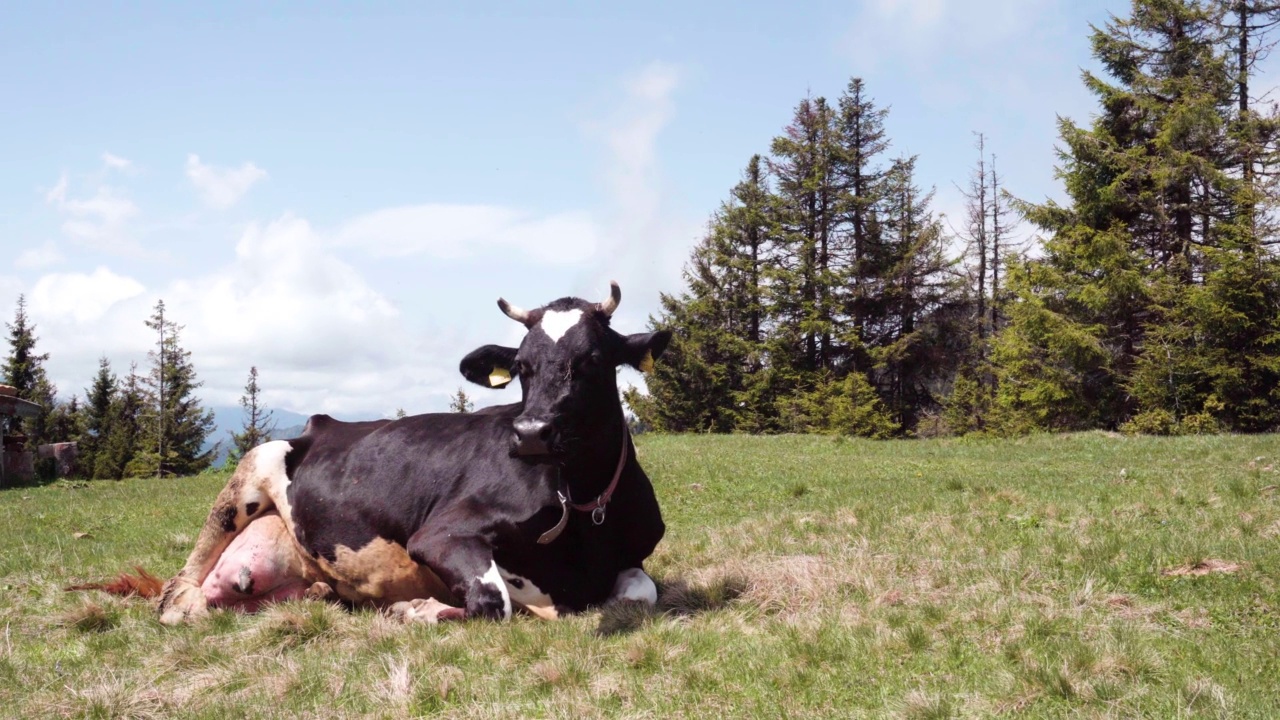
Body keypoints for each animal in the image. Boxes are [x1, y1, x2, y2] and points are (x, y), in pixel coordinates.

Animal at [81, 280, 675, 622]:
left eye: (592, 360)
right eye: (523, 367)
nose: (529, 433)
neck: (584, 507)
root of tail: (319, 426)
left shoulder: (633, 557)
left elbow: (640, 591)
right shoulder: (439, 533)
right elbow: (495, 599)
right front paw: (420, 608)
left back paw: (322, 596)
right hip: (252, 466)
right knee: (178, 598)